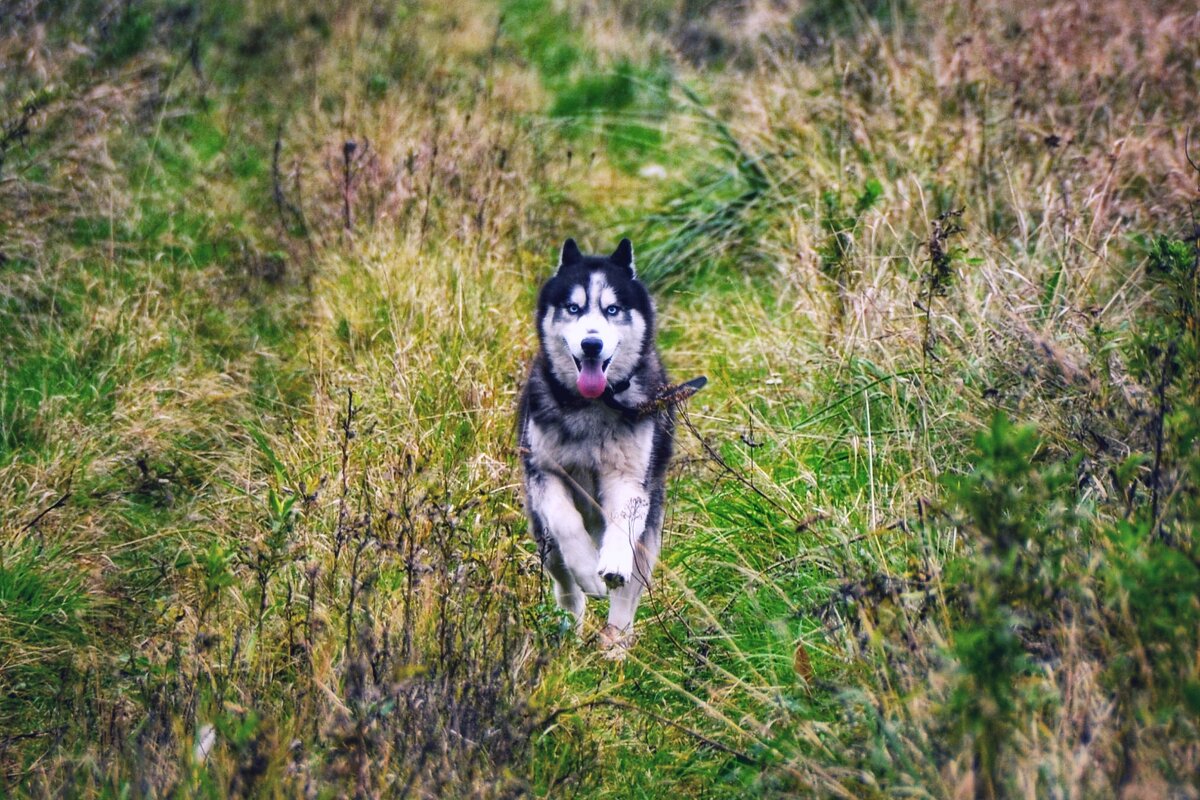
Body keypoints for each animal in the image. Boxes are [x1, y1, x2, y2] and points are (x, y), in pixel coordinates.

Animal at [518, 236, 676, 642]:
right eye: (573, 308)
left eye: (612, 309)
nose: (591, 344)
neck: (592, 405)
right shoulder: (544, 473)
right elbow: (565, 520)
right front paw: (589, 570)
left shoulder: (629, 477)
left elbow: (623, 519)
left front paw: (611, 562)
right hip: (544, 542)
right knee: (564, 583)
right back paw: (569, 630)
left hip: (648, 539)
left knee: (625, 602)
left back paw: (614, 645)